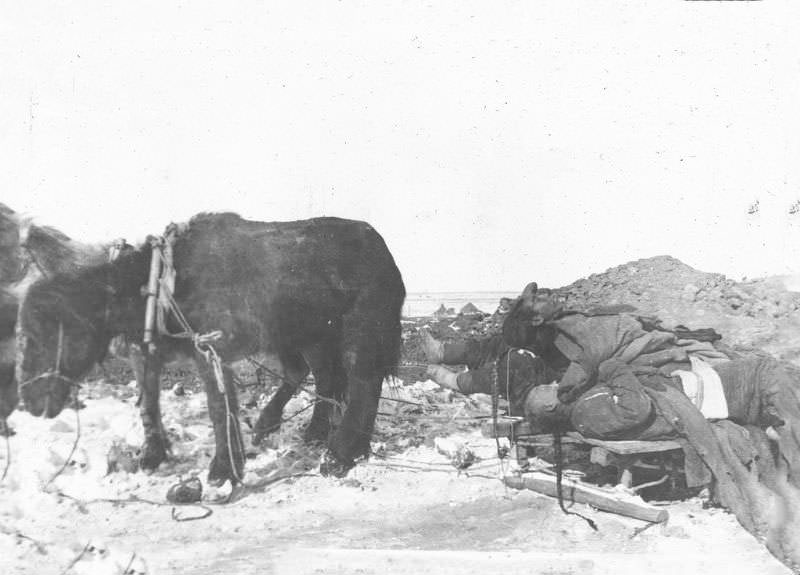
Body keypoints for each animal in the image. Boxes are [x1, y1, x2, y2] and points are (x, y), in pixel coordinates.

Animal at [17, 212, 406, 482]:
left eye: (44, 333)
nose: (29, 401)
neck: (157, 284)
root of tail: (384, 250)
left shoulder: (212, 350)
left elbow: (220, 407)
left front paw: (223, 470)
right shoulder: (149, 353)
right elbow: (149, 403)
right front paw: (152, 456)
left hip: (361, 332)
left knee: (363, 383)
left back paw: (340, 455)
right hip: (310, 336)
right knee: (323, 378)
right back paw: (308, 434)